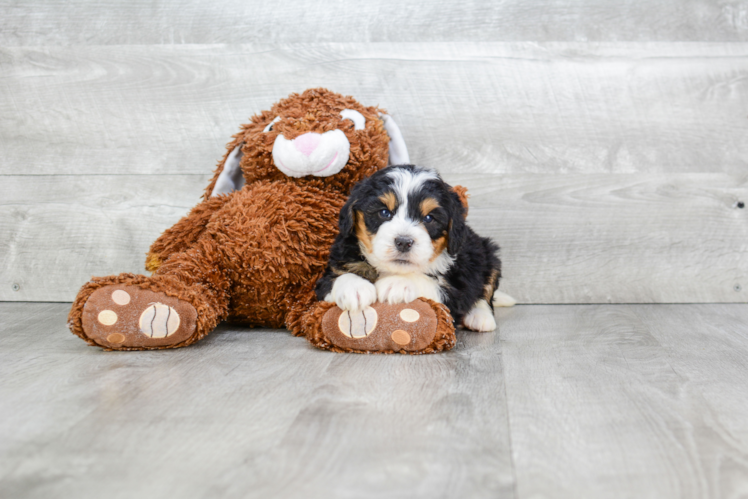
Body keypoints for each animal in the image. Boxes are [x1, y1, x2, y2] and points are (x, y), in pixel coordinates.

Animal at [314, 164, 502, 332]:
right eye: (384, 213)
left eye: (429, 218)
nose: (404, 242)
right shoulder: (331, 272)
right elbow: (338, 278)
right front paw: (355, 288)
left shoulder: (454, 291)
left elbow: (427, 281)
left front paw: (397, 283)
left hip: (488, 254)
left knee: (485, 292)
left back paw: (479, 317)